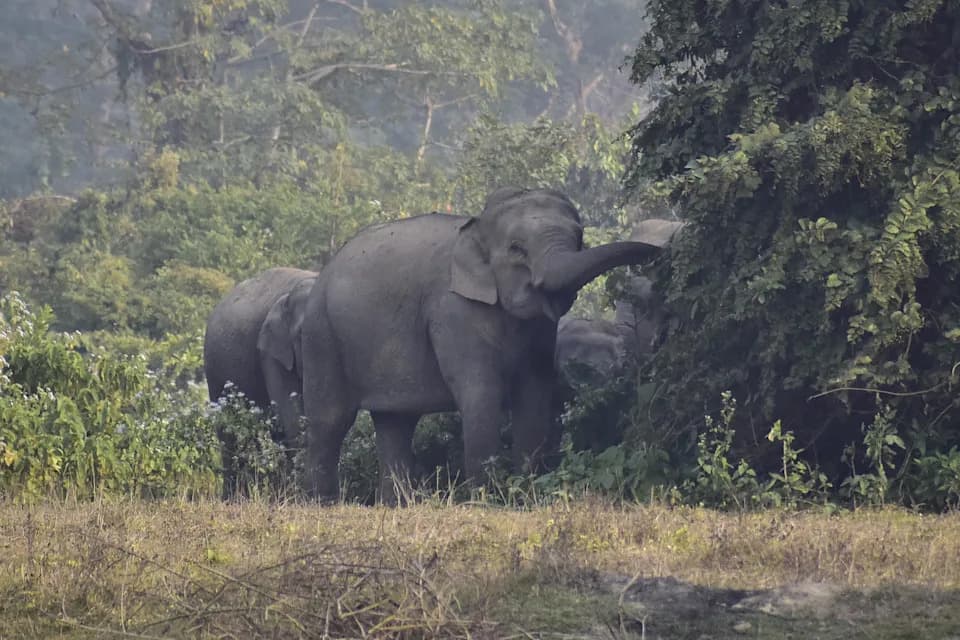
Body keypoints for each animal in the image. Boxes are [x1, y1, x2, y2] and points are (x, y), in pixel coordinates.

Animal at [203, 267, 317, 495]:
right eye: (303, 333)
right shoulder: (271, 353)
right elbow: (293, 416)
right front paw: (302, 492)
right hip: (214, 368)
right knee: (227, 431)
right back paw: (233, 495)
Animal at [296, 187, 671, 502]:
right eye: (517, 248)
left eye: (580, 238)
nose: (659, 254)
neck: (476, 227)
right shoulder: (451, 310)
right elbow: (481, 391)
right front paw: (486, 499)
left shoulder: (540, 331)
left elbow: (534, 391)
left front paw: (526, 494)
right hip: (321, 334)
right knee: (330, 420)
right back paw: (323, 503)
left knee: (395, 423)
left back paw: (397, 505)